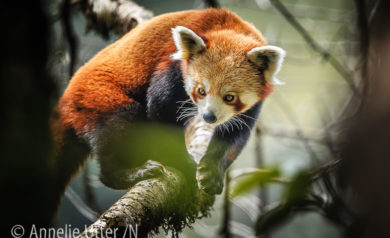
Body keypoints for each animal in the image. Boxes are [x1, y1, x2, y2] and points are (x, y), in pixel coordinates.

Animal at [51, 8, 284, 204]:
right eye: (201, 91)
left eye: (229, 97)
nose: (208, 117)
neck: (230, 26)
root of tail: (66, 100)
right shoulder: (171, 67)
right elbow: (161, 110)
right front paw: (184, 162)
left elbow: (235, 134)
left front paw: (211, 172)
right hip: (98, 97)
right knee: (120, 125)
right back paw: (128, 172)